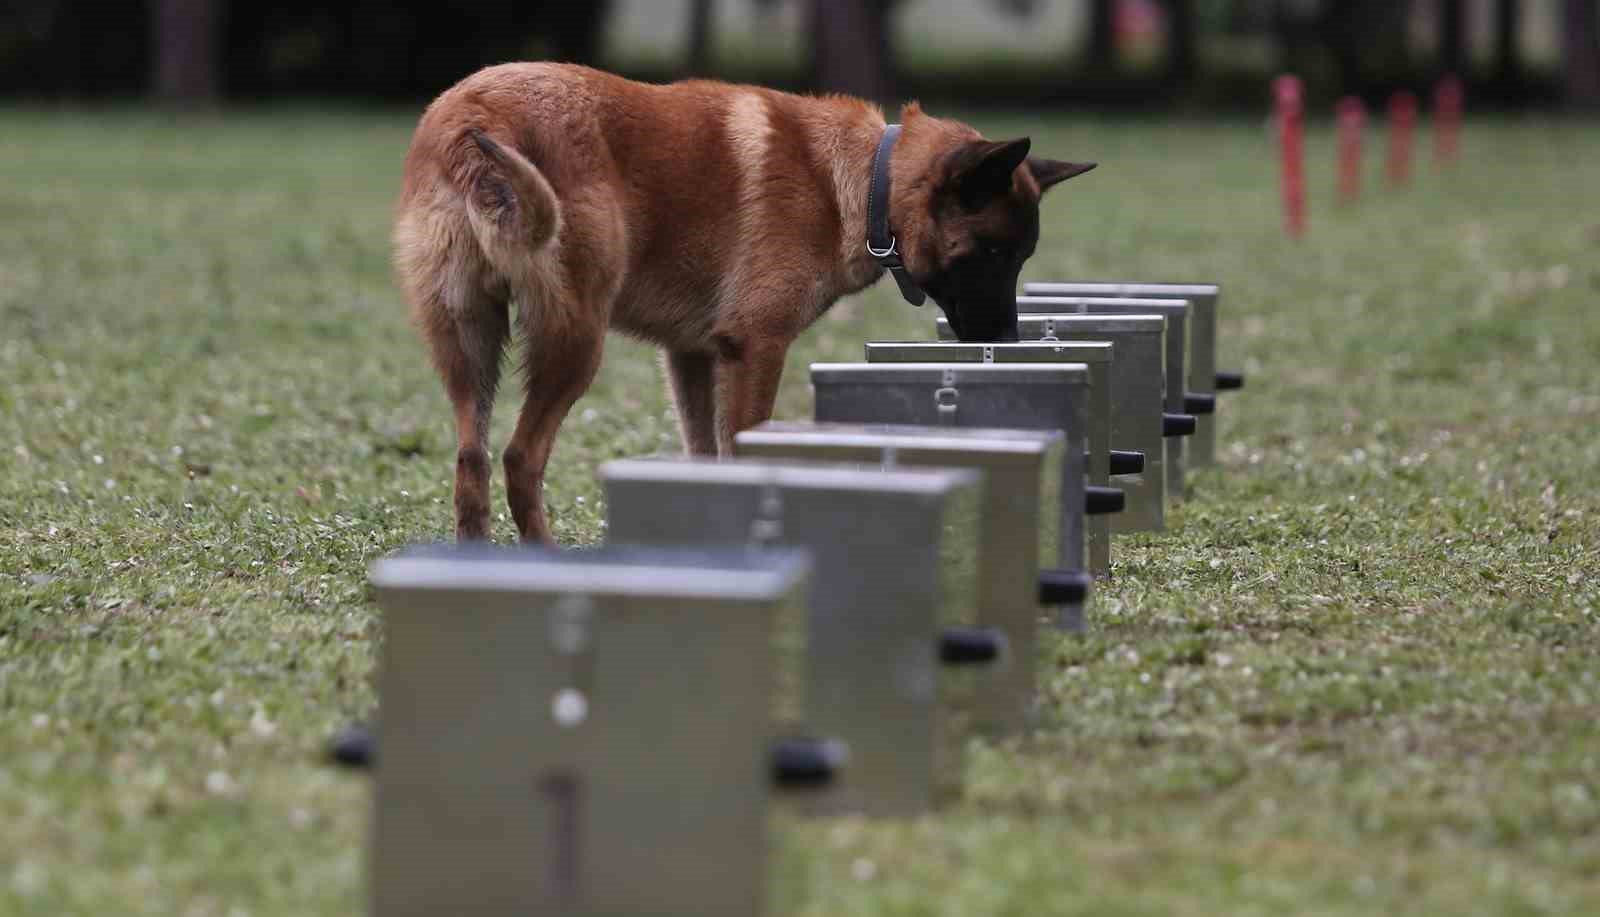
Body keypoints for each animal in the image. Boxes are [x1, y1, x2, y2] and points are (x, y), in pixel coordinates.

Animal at [398, 62, 1094, 544]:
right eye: (997, 255)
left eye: (1022, 257)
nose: (1007, 341)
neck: (866, 182)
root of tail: (472, 119)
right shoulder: (757, 348)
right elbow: (744, 451)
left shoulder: (692, 357)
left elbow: (706, 457)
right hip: (575, 345)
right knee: (520, 458)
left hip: (469, 347)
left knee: (471, 460)